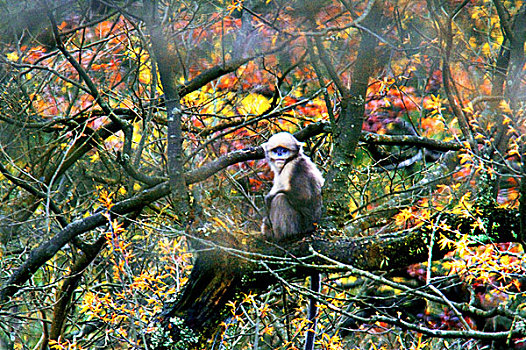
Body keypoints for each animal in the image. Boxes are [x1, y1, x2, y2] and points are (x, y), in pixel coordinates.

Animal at [260, 131, 324, 350]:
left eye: (284, 150)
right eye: (276, 150)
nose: (280, 155)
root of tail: (311, 230)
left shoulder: (292, 168)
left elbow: (300, 196)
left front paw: (267, 199)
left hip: (296, 226)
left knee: (280, 200)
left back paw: (277, 237)